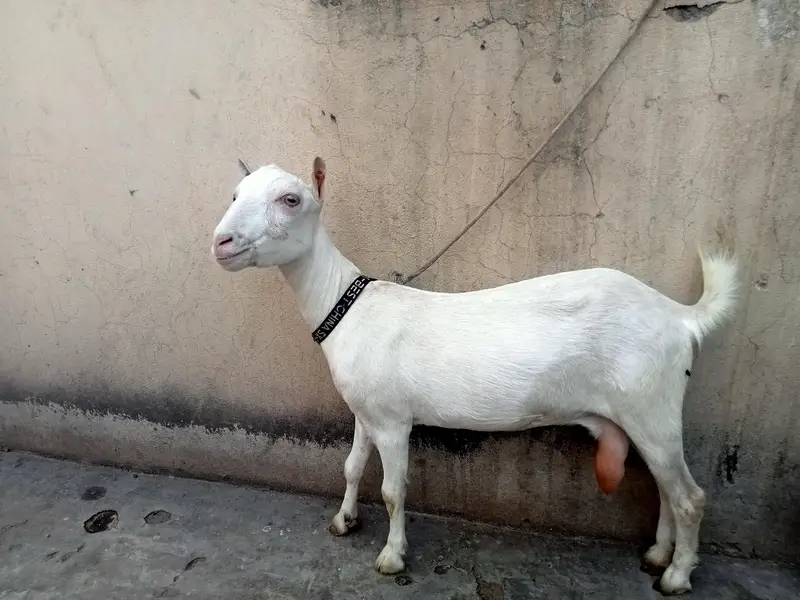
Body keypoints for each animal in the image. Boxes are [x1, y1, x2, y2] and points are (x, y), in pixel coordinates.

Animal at [211, 157, 738, 595]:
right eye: (235, 194)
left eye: (291, 200)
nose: (220, 242)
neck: (346, 307)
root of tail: (680, 316)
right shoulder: (366, 410)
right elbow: (352, 467)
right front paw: (344, 522)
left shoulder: (394, 421)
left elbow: (393, 491)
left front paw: (391, 557)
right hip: (645, 411)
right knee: (665, 489)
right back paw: (657, 555)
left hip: (651, 403)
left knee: (689, 497)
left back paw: (675, 576)